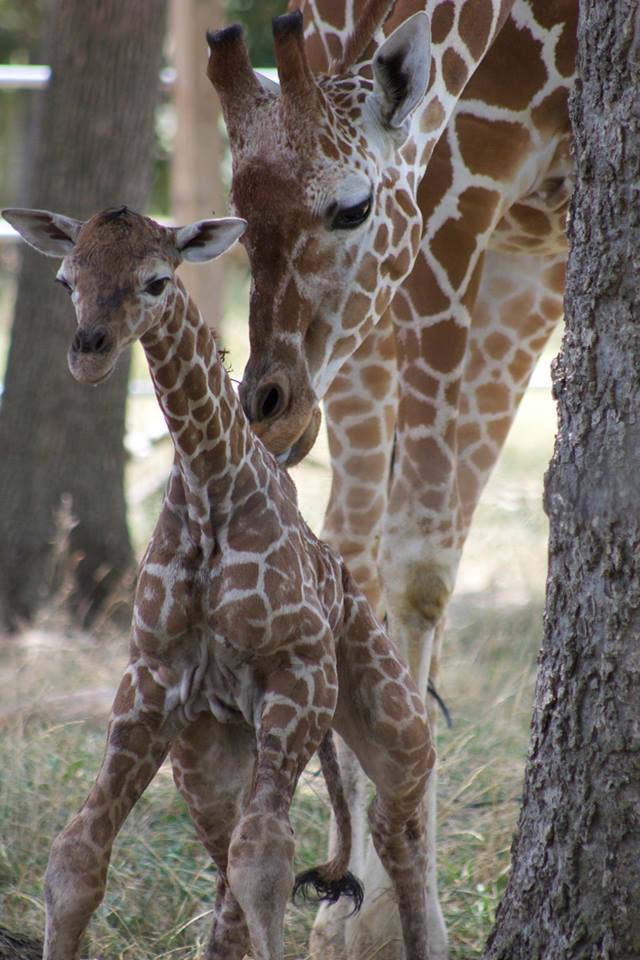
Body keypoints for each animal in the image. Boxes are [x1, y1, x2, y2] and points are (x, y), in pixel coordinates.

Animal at [3, 204, 436, 960]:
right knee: (225, 880)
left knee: (393, 821)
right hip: (207, 757)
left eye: (155, 280)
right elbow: (76, 857)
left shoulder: (296, 670)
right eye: (66, 279)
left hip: (393, 718)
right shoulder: (151, 680)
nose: (89, 352)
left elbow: (266, 862)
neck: (210, 484)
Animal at [205, 2, 576, 957]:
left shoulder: (468, 220)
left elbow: (422, 567)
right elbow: (388, 560)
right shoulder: (447, 211)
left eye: (351, 206)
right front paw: (371, 915)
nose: (271, 409)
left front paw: (384, 911)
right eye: (235, 215)